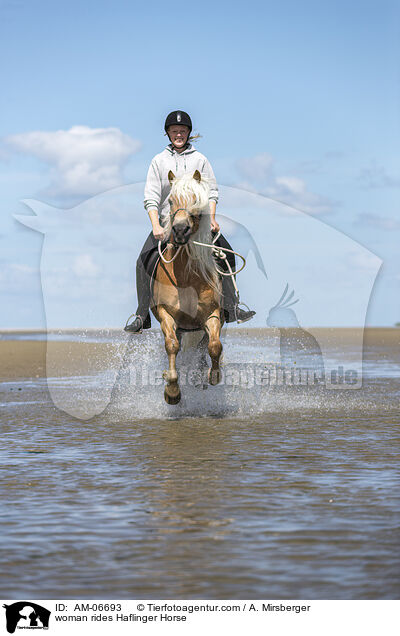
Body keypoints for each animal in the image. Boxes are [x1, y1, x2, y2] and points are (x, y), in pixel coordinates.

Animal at [152, 169, 223, 404]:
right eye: (170, 200)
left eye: (196, 200)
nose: (181, 230)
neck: (185, 276)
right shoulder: (166, 313)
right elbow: (172, 346)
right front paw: (172, 390)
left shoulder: (212, 313)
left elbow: (214, 346)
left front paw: (213, 376)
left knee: (202, 348)